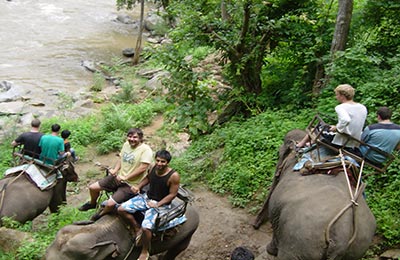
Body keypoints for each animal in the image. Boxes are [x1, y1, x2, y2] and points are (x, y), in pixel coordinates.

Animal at [253, 129, 376, 260]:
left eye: (279, 153)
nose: (255, 226)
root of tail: (341, 240)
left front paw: (270, 250)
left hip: (300, 240)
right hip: (357, 248)